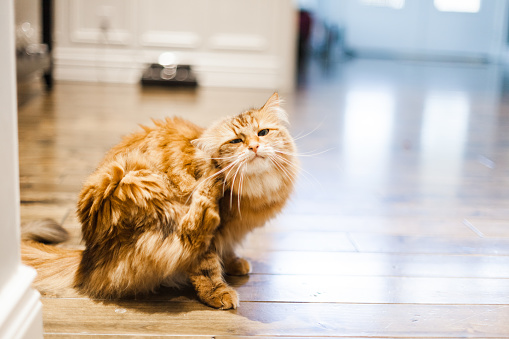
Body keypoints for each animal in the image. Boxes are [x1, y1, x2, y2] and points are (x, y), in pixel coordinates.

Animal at [21, 93, 296, 310]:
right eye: (236, 141)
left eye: (263, 133)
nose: (254, 147)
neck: (254, 191)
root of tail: (88, 259)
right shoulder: (214, 239)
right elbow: (206, 267)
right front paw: (218, 292)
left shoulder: (230, 233)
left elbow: (227, 250)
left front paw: (234, 263)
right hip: (129, 177)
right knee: (189, 234)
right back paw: (209, 192)